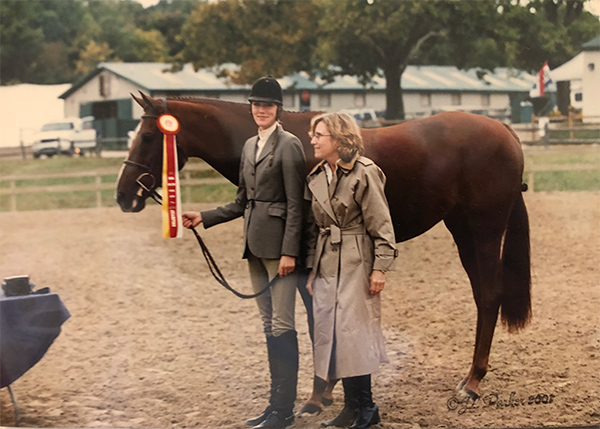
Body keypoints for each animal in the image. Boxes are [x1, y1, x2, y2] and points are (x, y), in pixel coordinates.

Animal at [116, 93, 528, 408]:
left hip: (485, 230)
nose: (124, 196)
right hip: (463, 231)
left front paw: (321, 392)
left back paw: (472, 384)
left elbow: (317, 321)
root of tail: (505, 130)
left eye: (149, 136)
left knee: (490, 296)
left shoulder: (304, 262)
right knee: (482, 297)